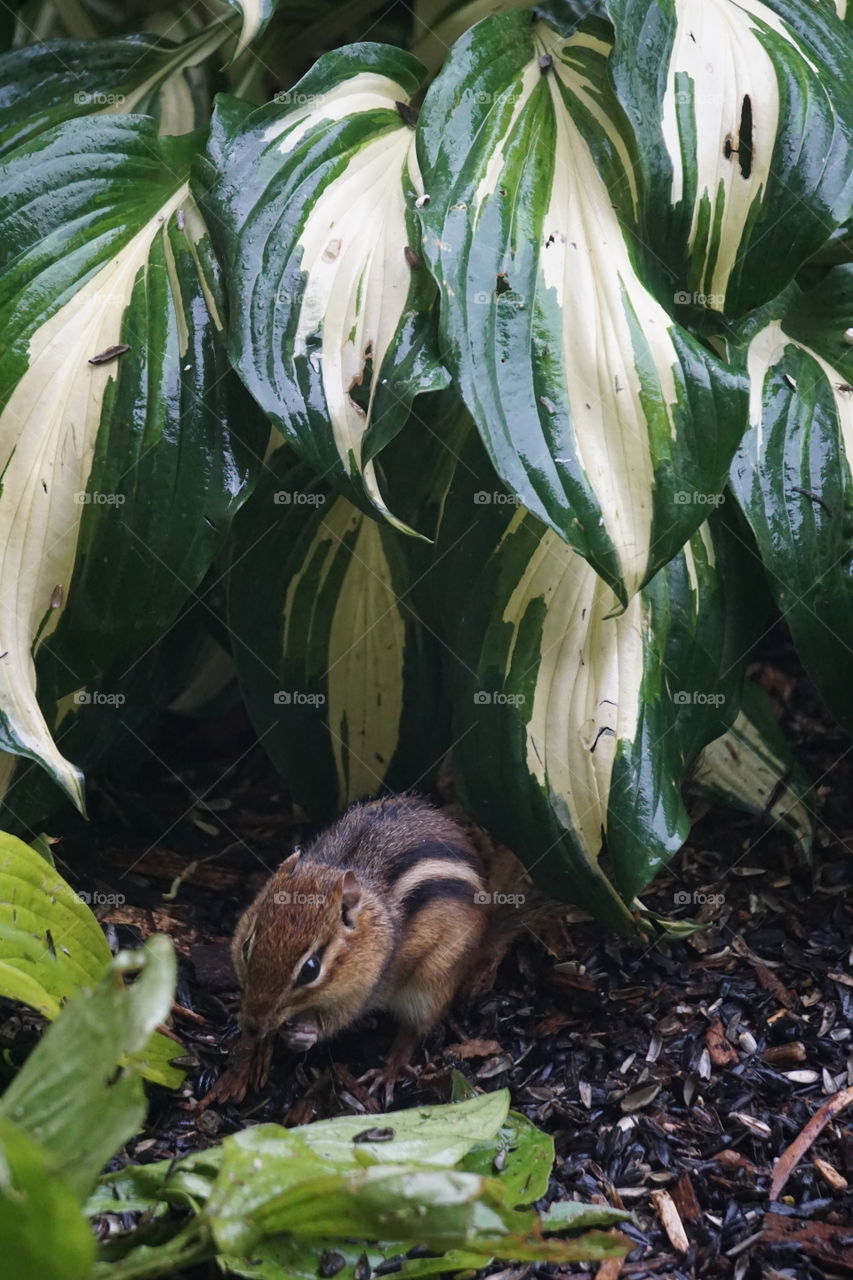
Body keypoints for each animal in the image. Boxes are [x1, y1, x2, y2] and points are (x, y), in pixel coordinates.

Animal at [225, 794, 495, 1105]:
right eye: (246, 946)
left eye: (310, 969)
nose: (252, 1026)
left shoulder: (364, 991)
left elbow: (340, 1019)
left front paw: (306, 1034)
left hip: (434, 980)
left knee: (414, 1029)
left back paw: (389, 1071)